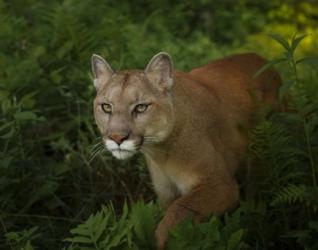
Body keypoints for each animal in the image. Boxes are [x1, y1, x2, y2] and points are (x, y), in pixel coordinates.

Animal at [90, 51, 280, 249]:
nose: (117, 137)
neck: (161, 153)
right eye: (106, 107)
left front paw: (160, 241)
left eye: (141, 107)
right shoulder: (166, 193)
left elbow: (179, 210)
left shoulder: (221, 185)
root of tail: (260, 58)